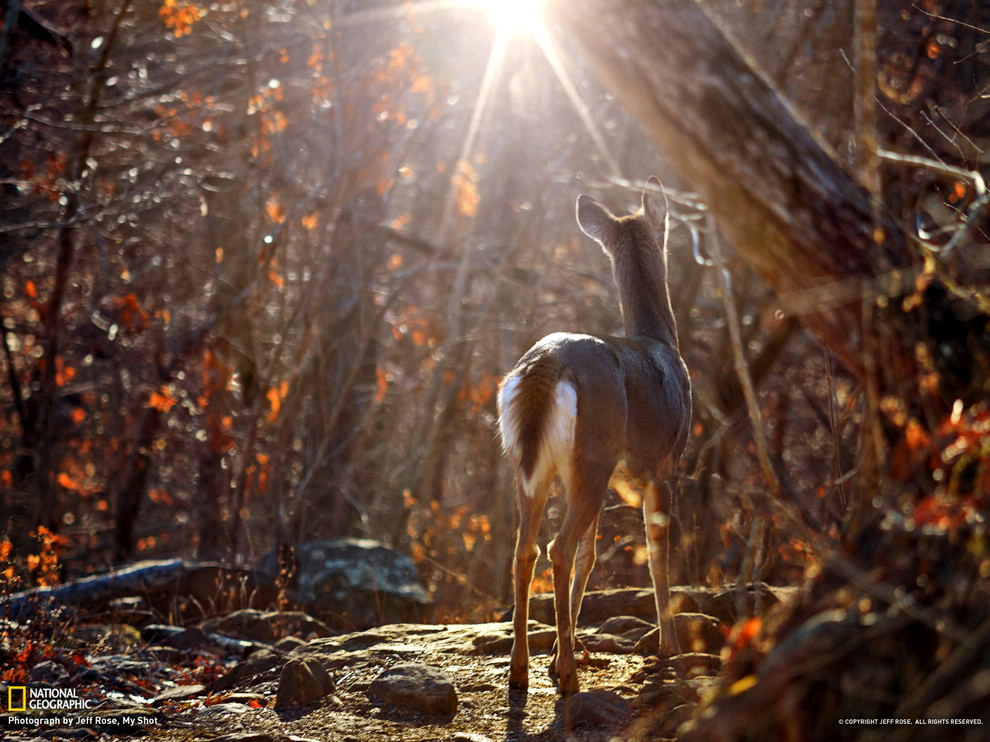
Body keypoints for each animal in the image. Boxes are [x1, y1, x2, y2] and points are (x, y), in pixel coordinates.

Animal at [500, 180, 692, 696]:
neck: (662, 341)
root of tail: (546, 364)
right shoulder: (665, 463)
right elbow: (657, 553)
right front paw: (669, 647)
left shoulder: (614, 478)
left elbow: (591, 557)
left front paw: (555, 651)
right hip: (593, 453)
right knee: (558, 548)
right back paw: (567, 676)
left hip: (532, 463)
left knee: (525, 549)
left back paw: (522, 670)